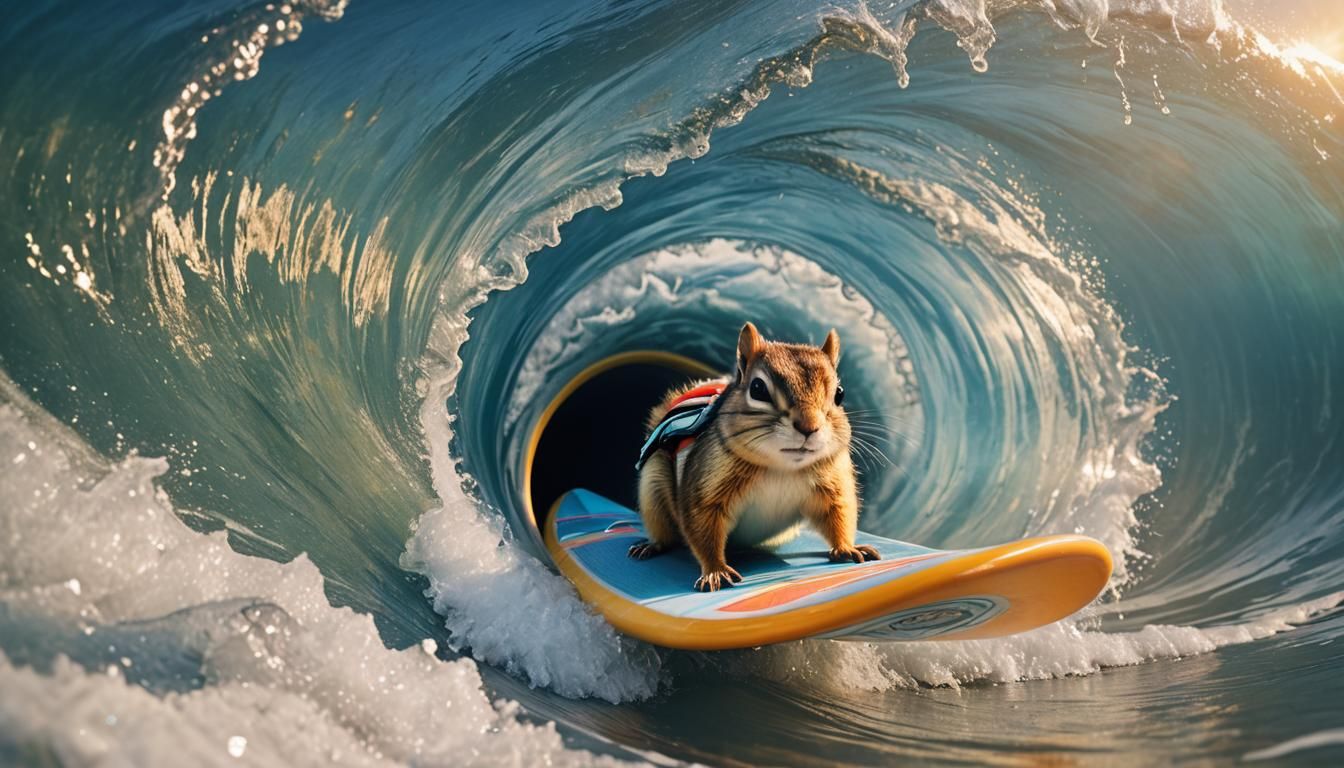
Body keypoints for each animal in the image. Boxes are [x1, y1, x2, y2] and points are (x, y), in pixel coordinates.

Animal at [630, 322, 879, 592]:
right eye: (757, 388)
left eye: (839, 394)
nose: (809, 427)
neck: (782, 468)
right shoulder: (705, 489)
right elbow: (703, 529)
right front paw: (715, 570)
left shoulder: (833, 487)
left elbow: (838, 516)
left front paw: (847, 548)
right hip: (653, 489)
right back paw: (651, 545)